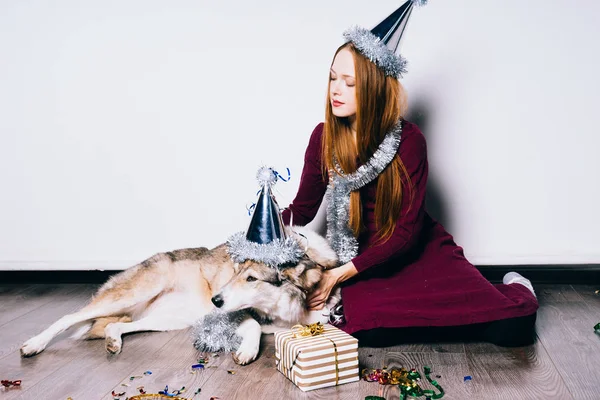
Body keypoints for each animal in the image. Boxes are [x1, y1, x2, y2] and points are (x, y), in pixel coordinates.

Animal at [19, 227, 338, 364]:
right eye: (235, 273)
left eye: (251, 278)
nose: (215, 300)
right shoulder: (229, 316)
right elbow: (255, 326)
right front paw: (247, 350)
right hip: (132, 293)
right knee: (69, 316)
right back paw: (34, 344)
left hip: (167, 321)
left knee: (116, 325)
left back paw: (113, 341)